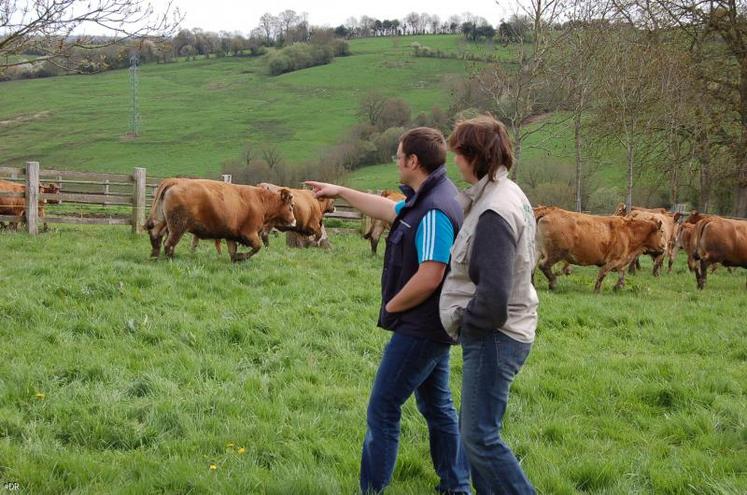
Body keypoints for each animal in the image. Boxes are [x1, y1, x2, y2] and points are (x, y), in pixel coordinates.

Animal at [145, 179, 296, 264]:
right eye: (290, 207)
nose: (294, 221)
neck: (260, 200)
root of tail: (175, 182)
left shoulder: (231, 235)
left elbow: (233, 251)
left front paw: (236, 259)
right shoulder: (249, 233)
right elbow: (257, 247)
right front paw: (242, 257)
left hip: (162, 222)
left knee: (155, 236)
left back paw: (154, 256)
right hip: (178, 227)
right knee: (168, 243)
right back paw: (170, 259)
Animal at [536, 208, 668, 292]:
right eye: (661, 232)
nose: (664, 247)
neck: (629, 232)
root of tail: (548, 211)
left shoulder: (621, 262)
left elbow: (621, 276)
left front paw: (617, 287)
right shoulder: (612, 261)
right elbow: (602, 274)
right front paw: (597, 290)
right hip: (556, 253)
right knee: (543, 265)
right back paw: (553, 283)